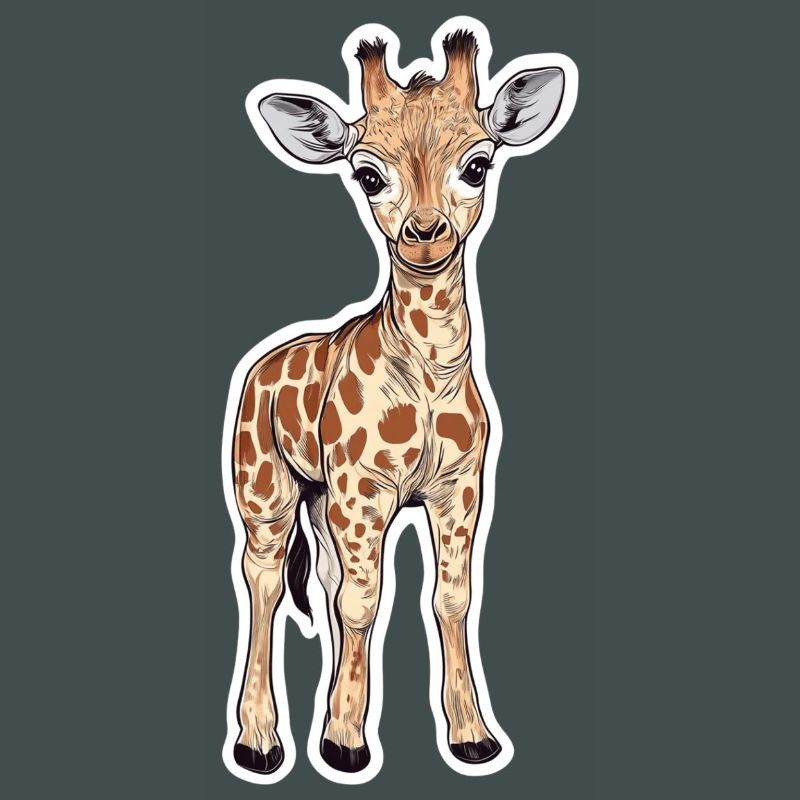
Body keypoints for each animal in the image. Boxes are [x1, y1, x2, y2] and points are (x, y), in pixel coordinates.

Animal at [226, 21, 576, 781]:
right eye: (366, 174)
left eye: (478, 164)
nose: (425, 234)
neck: (430, 375)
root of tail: (261, 363)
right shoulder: (366, 488)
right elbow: (365, 600)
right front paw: (344, 745)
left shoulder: (458, 489)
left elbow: (450, 597)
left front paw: (473, 738)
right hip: (265, 491)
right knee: (264, 582)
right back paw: (259, 744)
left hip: (321, 500)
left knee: (323, 583)